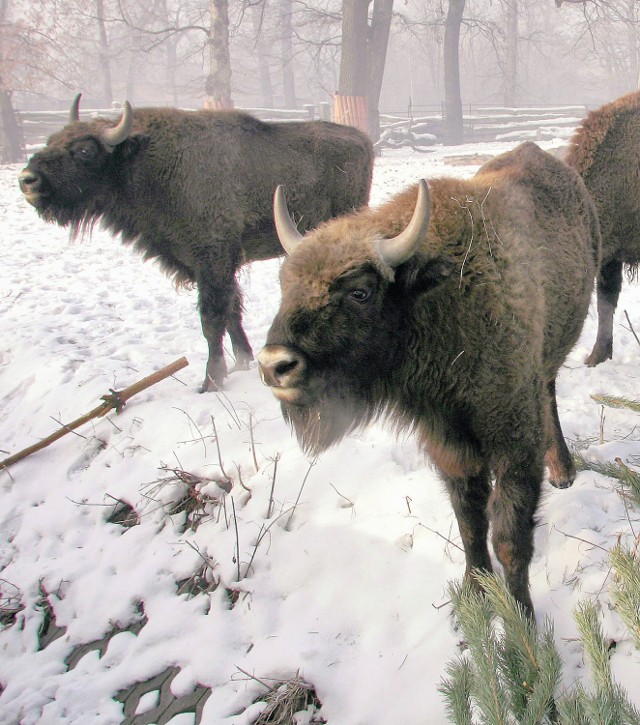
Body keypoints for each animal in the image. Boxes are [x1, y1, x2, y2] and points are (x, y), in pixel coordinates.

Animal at [18, 97, 376, 394]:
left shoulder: (212, 260)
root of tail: (363, 141)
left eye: (84, 150)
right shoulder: (215, 266)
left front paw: (210, 381)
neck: (146, 160)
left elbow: (212, 318)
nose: (28, 180)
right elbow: (232, 311)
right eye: (50, 140)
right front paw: (243, 362)